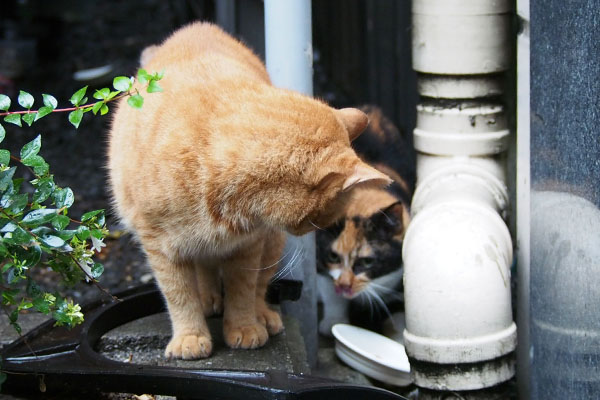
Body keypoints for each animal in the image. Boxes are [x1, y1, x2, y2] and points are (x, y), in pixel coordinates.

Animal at [108, 21, 392, 360]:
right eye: (320, 218)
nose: (315, 232)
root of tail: (196, 27)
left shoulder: (249, 245)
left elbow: (243, 290)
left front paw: (244, 327)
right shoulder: (161, 246)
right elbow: (180, 295)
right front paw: (191, 336)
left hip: (272, 243)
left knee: (258, 287)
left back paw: (262, 316)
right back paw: (209, 299)